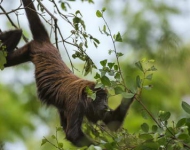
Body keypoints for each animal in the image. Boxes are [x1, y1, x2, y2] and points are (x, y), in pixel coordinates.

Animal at [0, 0, 134, 146]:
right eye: (99, 98)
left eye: (106, 99)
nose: (105, 105)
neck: (85, 96)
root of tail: (46, 44)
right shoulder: (76, 103)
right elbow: (73, 134)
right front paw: (99, 144)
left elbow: (111, 121)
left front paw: (132, 93)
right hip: (33, 48)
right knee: (17, 35)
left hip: (27, 51)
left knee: (10, 50)